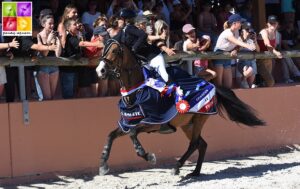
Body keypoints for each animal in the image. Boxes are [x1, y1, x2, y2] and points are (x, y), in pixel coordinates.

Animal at [96, 39, 264, 177]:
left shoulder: (153, 123)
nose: (100, 70)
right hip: (187, 125)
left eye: (114, 51)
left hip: (199, 118)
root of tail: (212, 85)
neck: (136, 91)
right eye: (103, 50)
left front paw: (148, 156)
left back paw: (177, 167)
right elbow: (111, 136)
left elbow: (132, 134)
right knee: (202, 144)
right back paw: (195, 172)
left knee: (195, 144)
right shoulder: (128, 123)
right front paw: (103, 166)